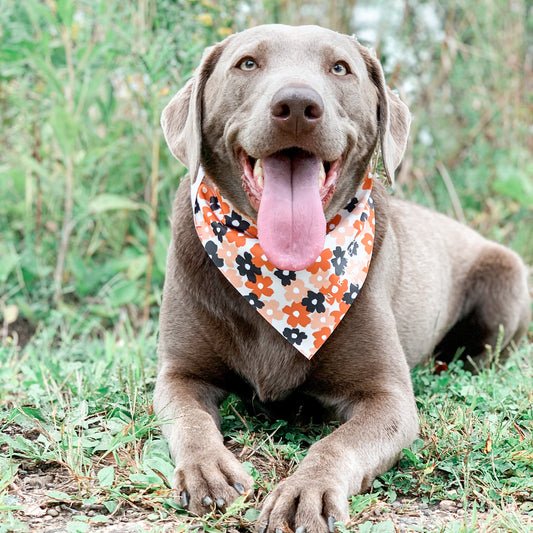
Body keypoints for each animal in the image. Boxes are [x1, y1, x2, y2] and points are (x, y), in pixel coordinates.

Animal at [152, 23, 528, 532]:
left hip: (506, 278)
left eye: (340, 68)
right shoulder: (178, 373)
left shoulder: (387, 398)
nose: (296, 105)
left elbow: (338, 442)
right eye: (247, 63)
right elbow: (189, 420)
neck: (281, 275)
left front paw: (305, 490)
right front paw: (207, 469)